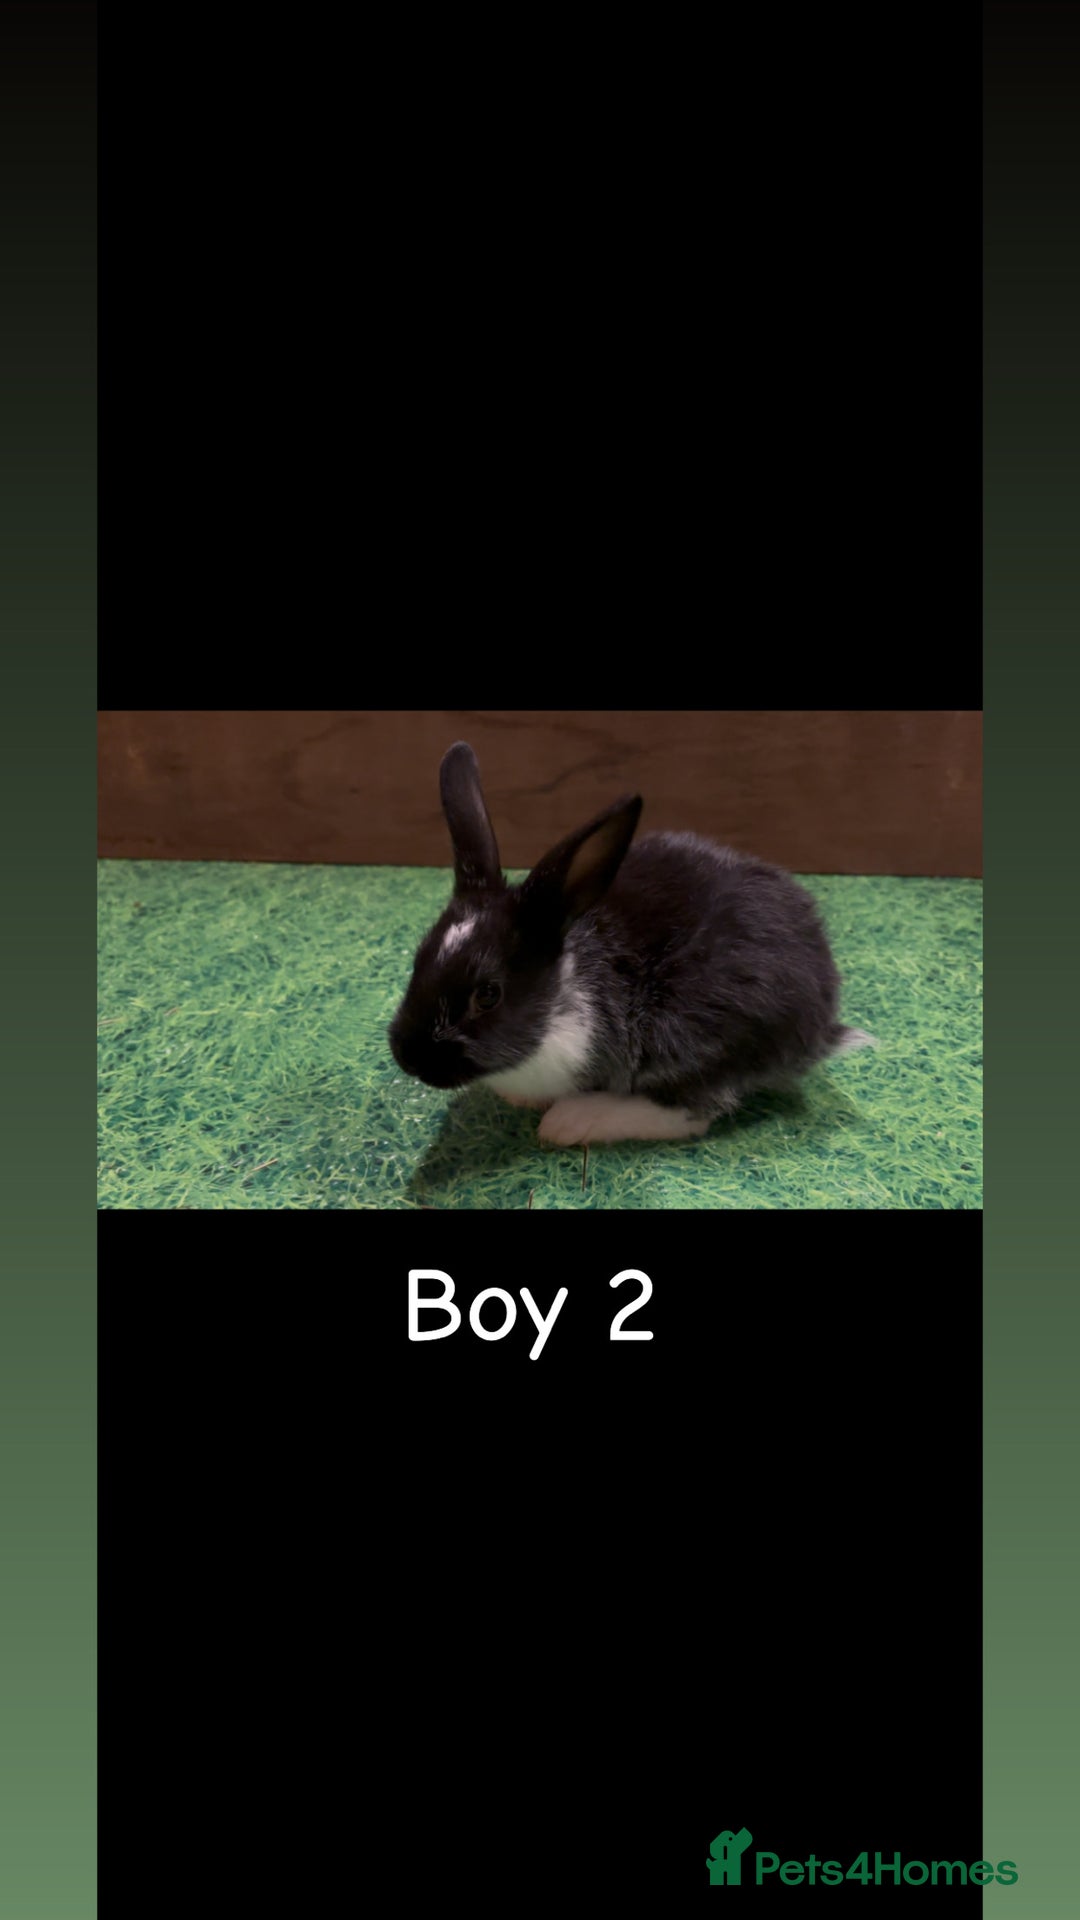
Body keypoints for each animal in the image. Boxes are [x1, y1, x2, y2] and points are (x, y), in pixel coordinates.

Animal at [388, 741, 875, 1145]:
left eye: (488, 995)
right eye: (418, 960)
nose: (409, 1057)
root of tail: (821, 1018)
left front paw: (558, 1118)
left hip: (701, 1028)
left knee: (692, 1113)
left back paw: (574, 1121)